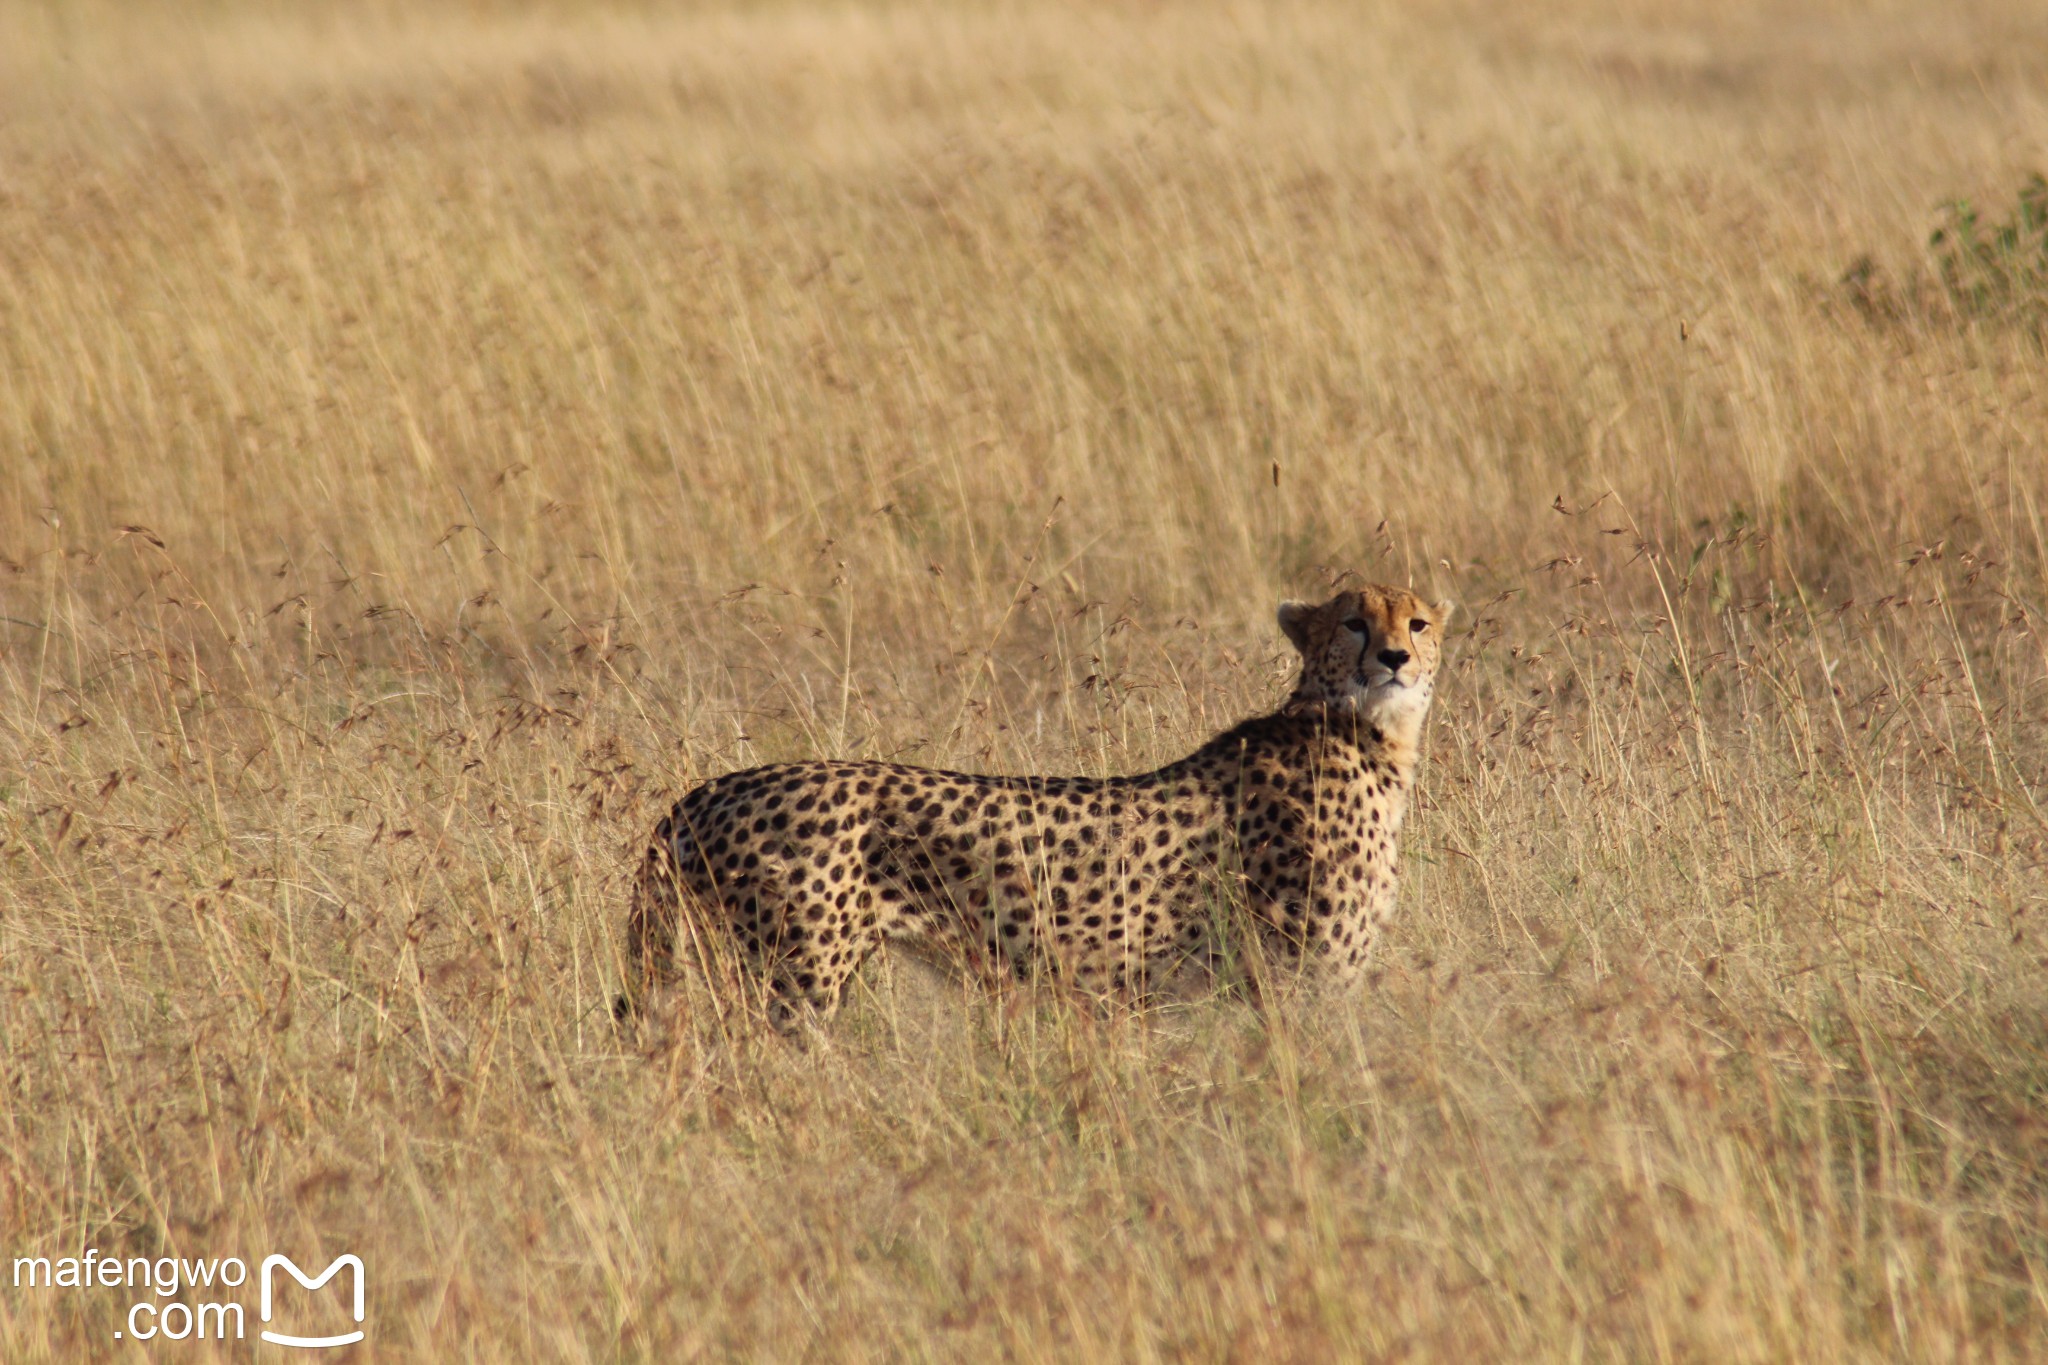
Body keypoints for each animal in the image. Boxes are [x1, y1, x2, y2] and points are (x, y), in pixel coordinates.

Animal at [614, 581, 1449, 1031]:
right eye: (1353, 621)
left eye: (1417, 622)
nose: (1394, 658)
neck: (1365, 733)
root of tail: (714, 786)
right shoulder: (1304, 987)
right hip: (799, 982)